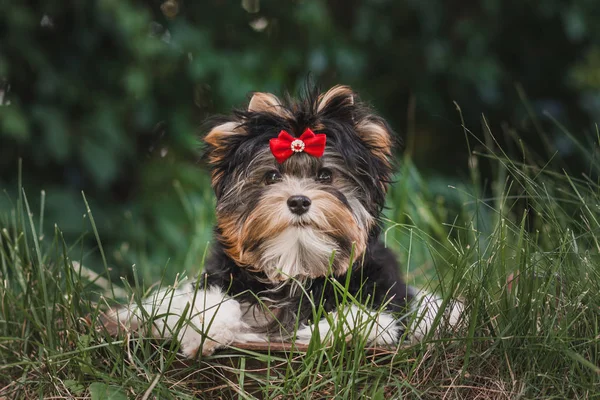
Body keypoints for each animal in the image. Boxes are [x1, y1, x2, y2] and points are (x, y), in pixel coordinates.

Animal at [104, 86, 460, 358]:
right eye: (271, 176)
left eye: (325, 175)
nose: (298, 201)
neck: (296, 267)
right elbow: (204, 303)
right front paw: (204, 330)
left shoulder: (384, 293)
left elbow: (368, 319)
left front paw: (326, 333)